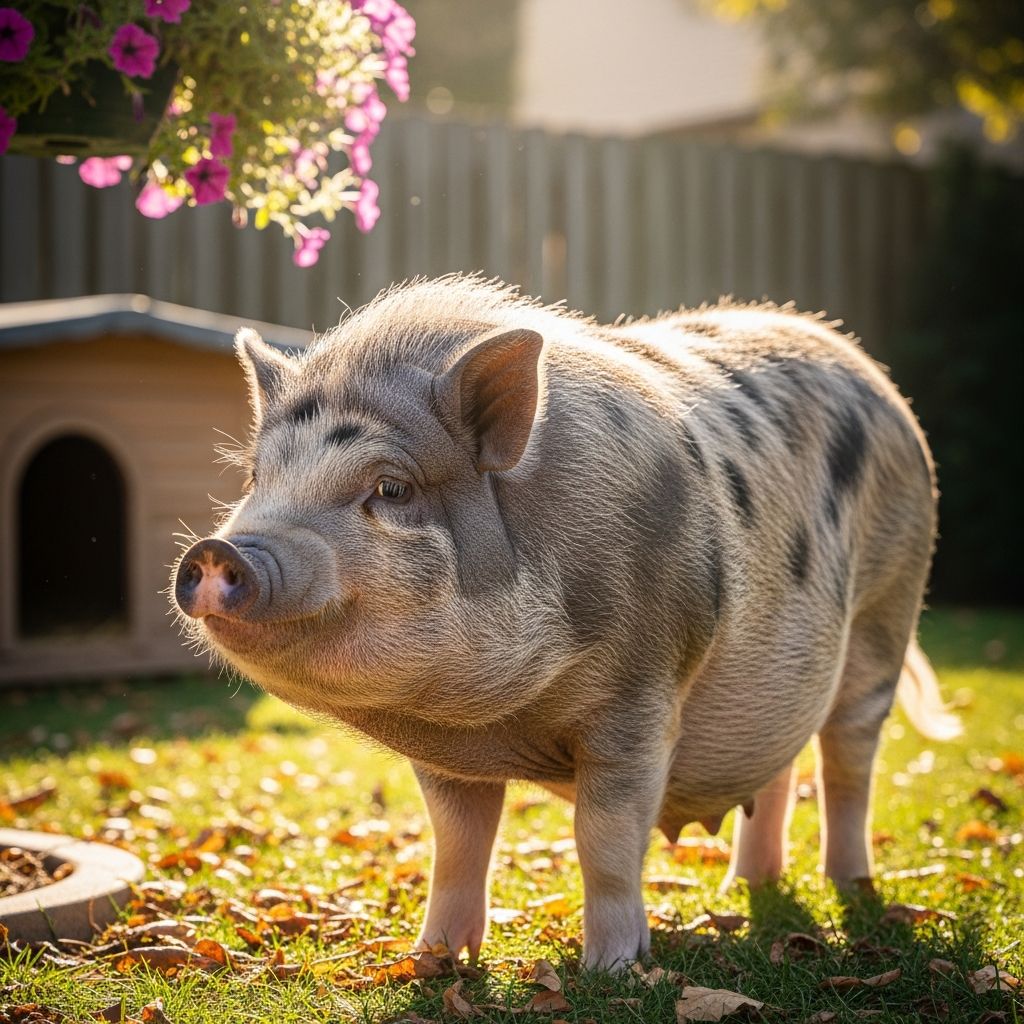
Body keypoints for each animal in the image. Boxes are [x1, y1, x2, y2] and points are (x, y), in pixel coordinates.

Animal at [172, 275, 959, 970]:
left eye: (391, 488)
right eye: (256, 478)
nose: (218, 551)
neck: (492, 718)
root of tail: (881, 385)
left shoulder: (639, 699)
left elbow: (604, 841)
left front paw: (611, 972)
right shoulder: (446, 754)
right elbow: (457, 843)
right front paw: (428, 963)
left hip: (887, 609)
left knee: (848, 761)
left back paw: (851, 888)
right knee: (779, 767)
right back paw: (745, 886)